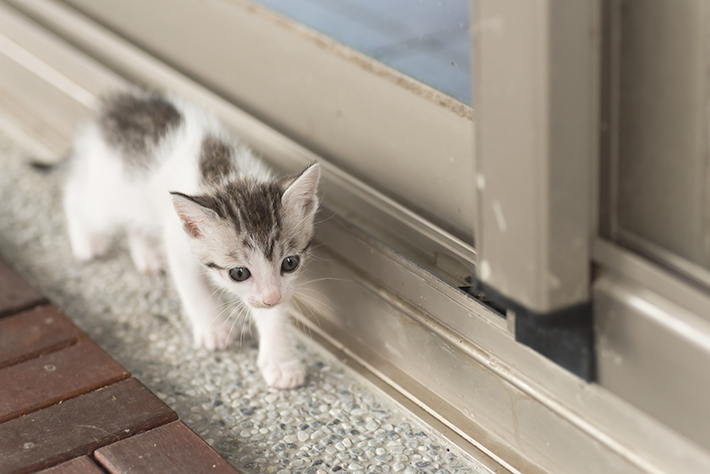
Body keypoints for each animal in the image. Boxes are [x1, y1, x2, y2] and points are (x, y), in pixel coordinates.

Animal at [64, 89, 320, 388]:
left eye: (290, 263)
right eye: (238, 273)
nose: (271, 298)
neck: (226, 176)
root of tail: (115, 105)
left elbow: (274, 312)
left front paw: (281, 361)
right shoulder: (179, 243)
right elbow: (194, 289)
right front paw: (214, 329)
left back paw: (146, 255)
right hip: (108, 195)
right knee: (76, 196)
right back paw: (87, 242)